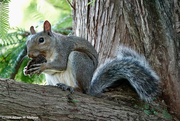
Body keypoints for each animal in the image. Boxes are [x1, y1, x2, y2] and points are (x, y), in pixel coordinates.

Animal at [23, 20, 160, 101]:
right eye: (27, 41)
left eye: (41, 40)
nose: (29, 54)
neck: (49, 52)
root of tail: (89, 87)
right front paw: (27, 69)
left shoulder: (63, 49)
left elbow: (61, 65)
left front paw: (41, 67)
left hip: (78, 59)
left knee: (82, 90)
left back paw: (71, 87)